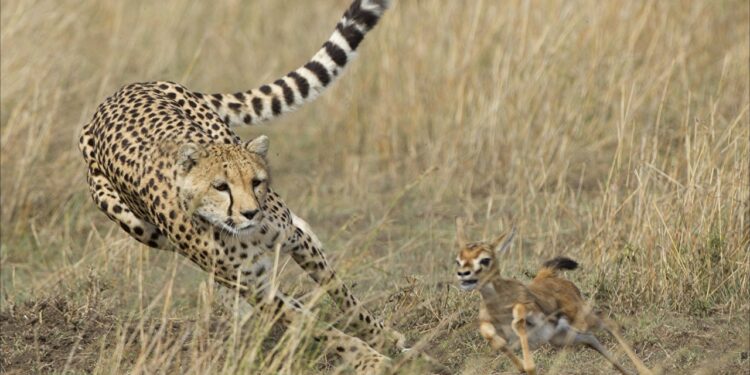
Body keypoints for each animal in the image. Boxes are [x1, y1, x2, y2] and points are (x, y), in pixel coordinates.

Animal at [78, 0, 406, 370]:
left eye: (256, 182)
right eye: (220, 187)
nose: (251, 213)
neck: (242, 233)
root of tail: (117, 94)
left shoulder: (294, 243)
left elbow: (341, 294)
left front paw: (382, 338)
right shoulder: (256, 288)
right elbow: (316, 327)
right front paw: (369, 359)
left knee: (301, 231)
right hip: (143, 230)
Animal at [452, 220, 652, 375]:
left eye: (485, 259)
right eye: (458, 260)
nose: (463, 274)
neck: (500, 304)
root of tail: (547, 275)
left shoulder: (531, 309)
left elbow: (519, 315)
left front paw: (527, 364)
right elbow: (489, 333)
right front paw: (522, 366)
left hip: (581, 318)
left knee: (609, 322)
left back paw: (645, 371)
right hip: (560, 336)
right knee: (591, 339)